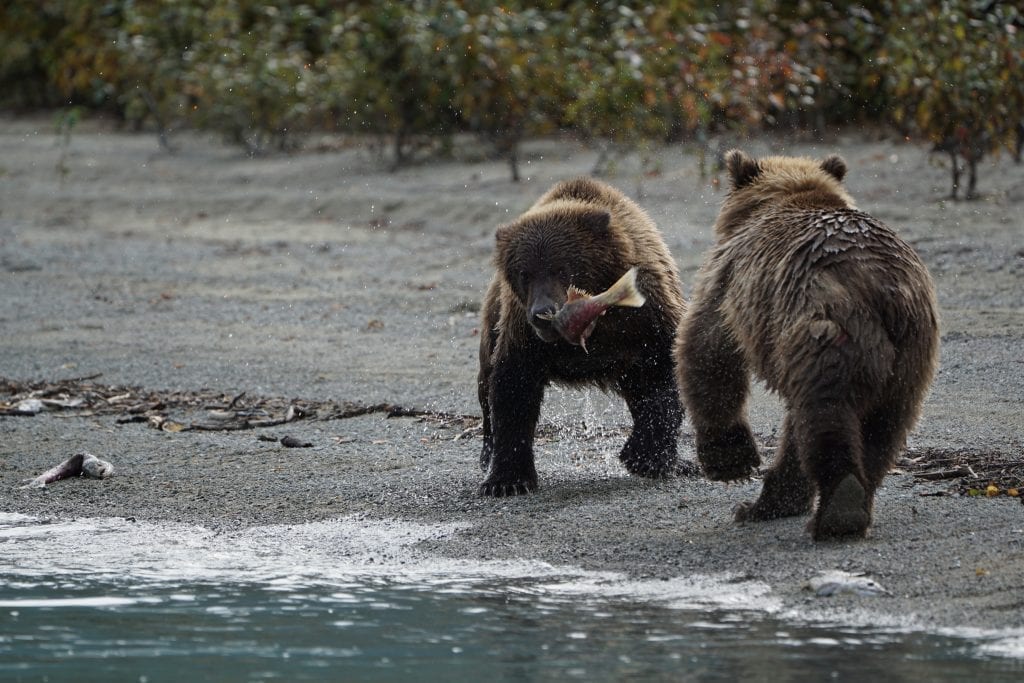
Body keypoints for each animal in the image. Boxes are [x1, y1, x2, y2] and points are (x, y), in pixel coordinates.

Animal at [479, 176, 688, 497]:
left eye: (561, 268)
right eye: (524, 273)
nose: (542, 312)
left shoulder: (650, 318)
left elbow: (665, 375)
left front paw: (643, 456)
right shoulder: (522, 333)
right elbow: (513, 388)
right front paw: (506, 480)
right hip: (492, 325)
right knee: (486, 383)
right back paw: (486, 454)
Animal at [675, 152, 937, 540]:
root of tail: (882, 288)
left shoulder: (728, 281)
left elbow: (708, 349)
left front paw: (729, 460)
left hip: (824, 332)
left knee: (826, 416)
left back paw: (837, 509)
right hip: (910, 358)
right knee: (881, 427)